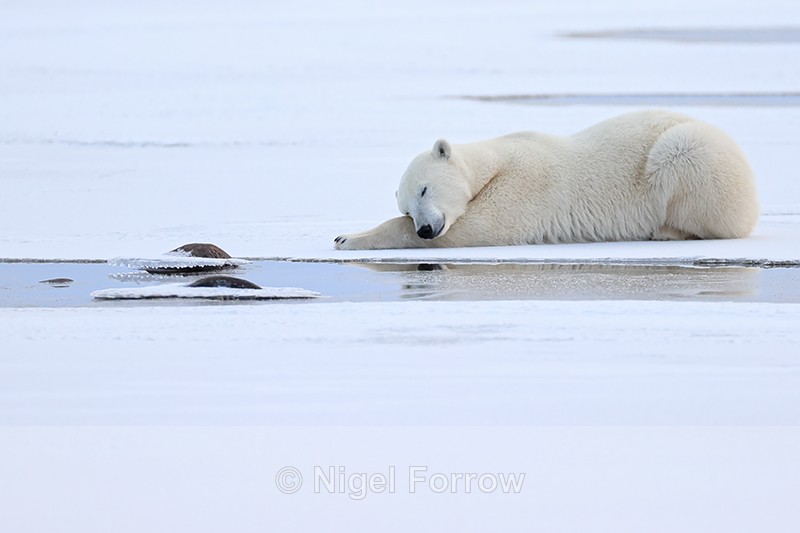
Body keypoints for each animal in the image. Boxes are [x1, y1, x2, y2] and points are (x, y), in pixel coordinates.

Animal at [334, 110, 759, 250]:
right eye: (408, 207)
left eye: (424, 189)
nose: (424, 228)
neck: (496, 161)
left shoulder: (524, 183)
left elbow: (480, 227)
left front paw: (347, 238)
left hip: (689, 154)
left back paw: (666, 230)